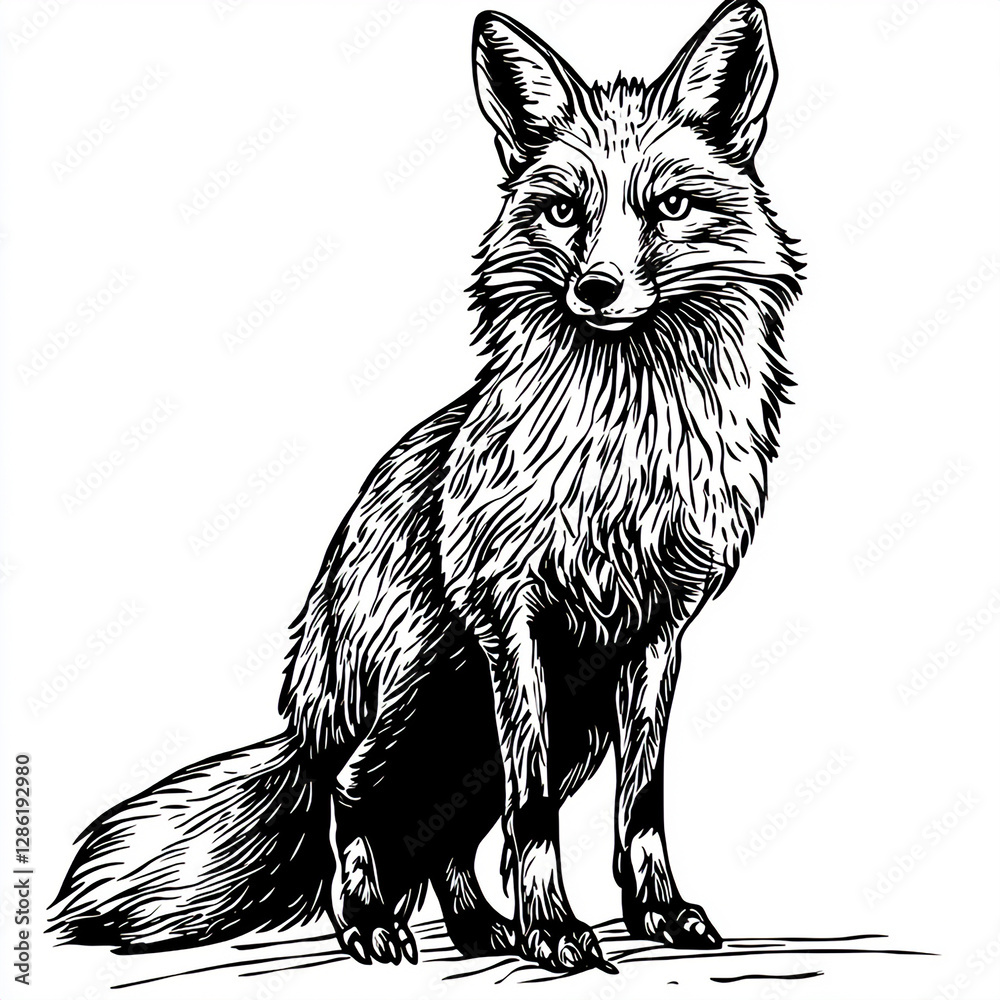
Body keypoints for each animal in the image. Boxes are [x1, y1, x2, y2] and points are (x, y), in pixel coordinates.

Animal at [51, 0, 803, 975]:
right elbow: (531, 811)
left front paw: (653, 912)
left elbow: (642, 803)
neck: (622, 445)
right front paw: (554, 929)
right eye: (564, 211)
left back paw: (479, 926)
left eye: (668, 206)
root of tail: (305, 702)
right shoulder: (513, 619)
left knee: (449, 832)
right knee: (356, 800)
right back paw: (374, 922)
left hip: (554, 725)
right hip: (423, 707)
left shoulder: (657, 632)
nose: (597, 288)